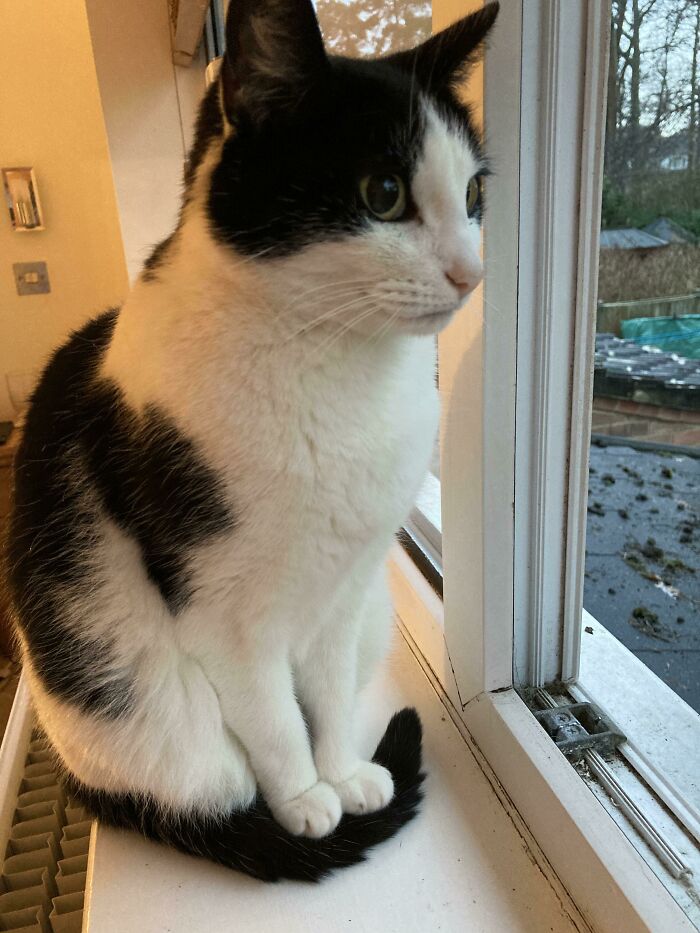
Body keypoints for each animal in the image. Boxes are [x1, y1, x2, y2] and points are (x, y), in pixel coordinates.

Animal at [5, 0, 498, 880]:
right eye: (383, 192)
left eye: (475, 191)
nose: (471, 276)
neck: (336, 372)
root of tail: (80, 781)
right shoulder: (222, 613)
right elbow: (271, 716)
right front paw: (306, 798)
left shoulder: (345, 590)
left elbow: (324, 696)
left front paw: (341, 771)